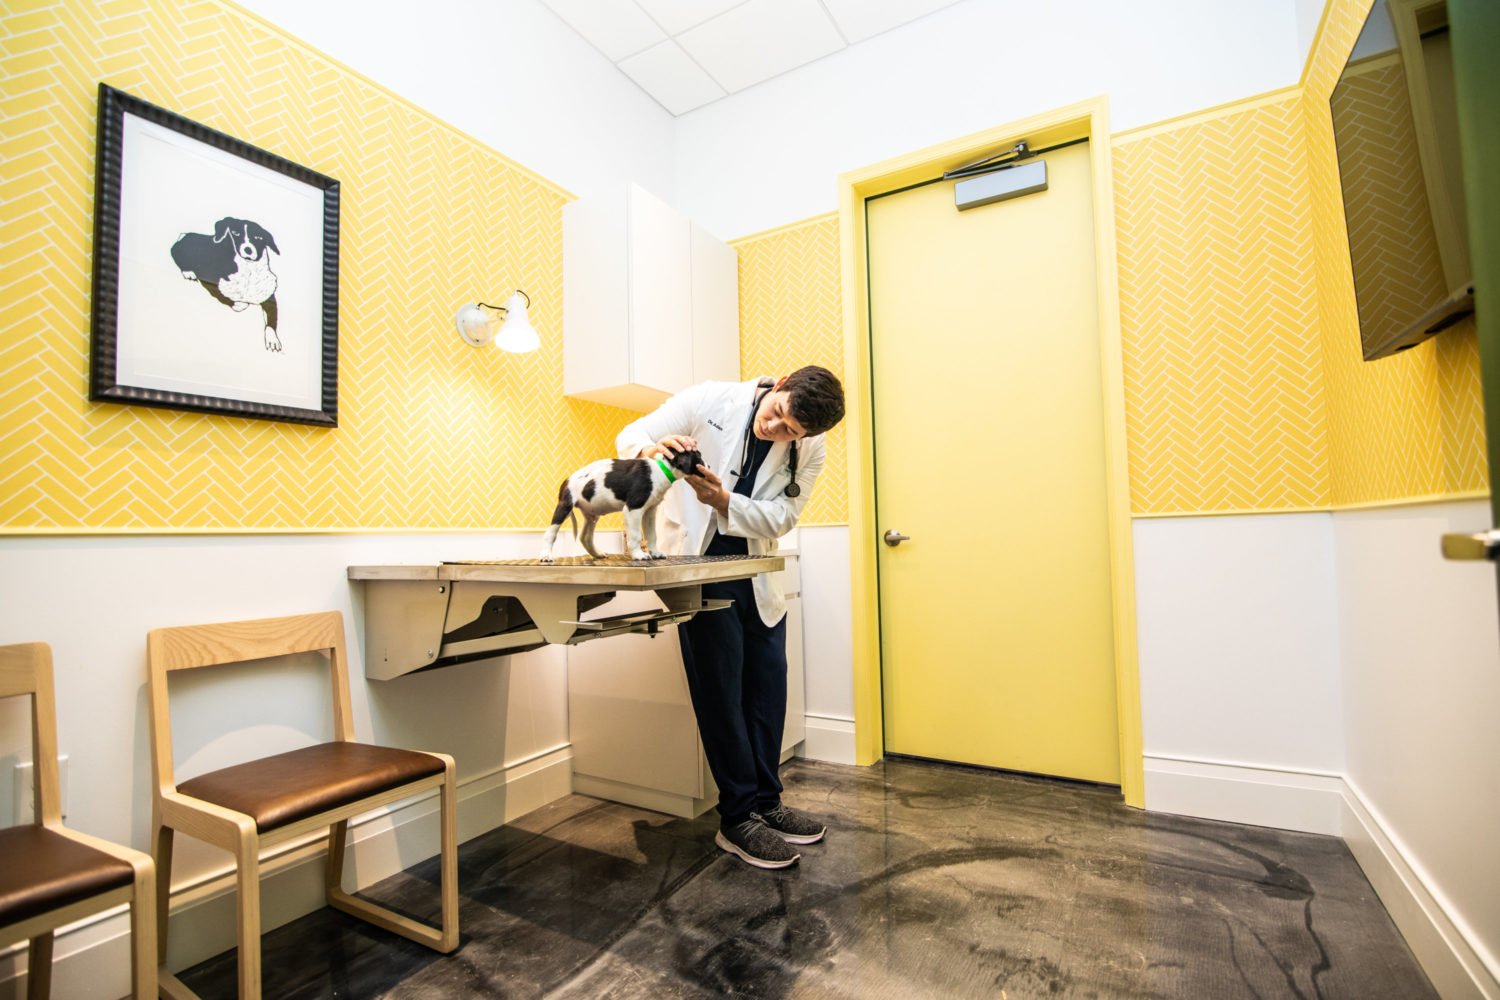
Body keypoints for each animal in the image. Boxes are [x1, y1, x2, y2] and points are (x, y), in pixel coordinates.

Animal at [540, 452, 702, 563]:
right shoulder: (633, 509)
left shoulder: (650, 512)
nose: (707, 465)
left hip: (591, 515)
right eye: (699, 457)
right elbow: (636, 536)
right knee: (550, 534)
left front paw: (655, 553)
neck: (661, 469)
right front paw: (638, 554)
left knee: (585, 537)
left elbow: (652, 535)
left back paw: (597, 553)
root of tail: (567, 480)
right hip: (564, 506)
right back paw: (546, 555)